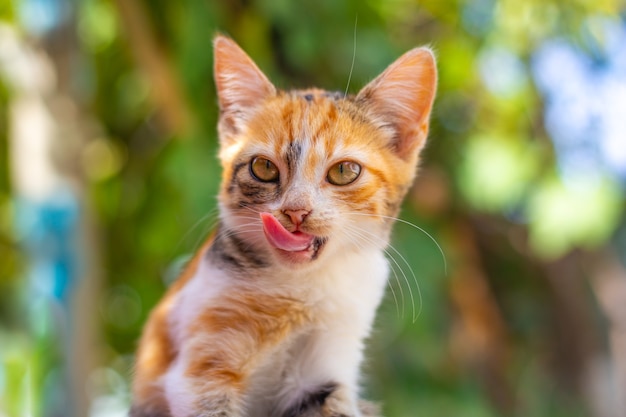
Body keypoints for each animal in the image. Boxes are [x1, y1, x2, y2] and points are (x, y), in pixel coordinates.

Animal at [130, 35, 436, 416]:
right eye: (263, 168)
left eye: (344, 171)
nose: (296, 211)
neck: (301, 289)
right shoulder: (200, 372)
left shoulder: (327, 366)